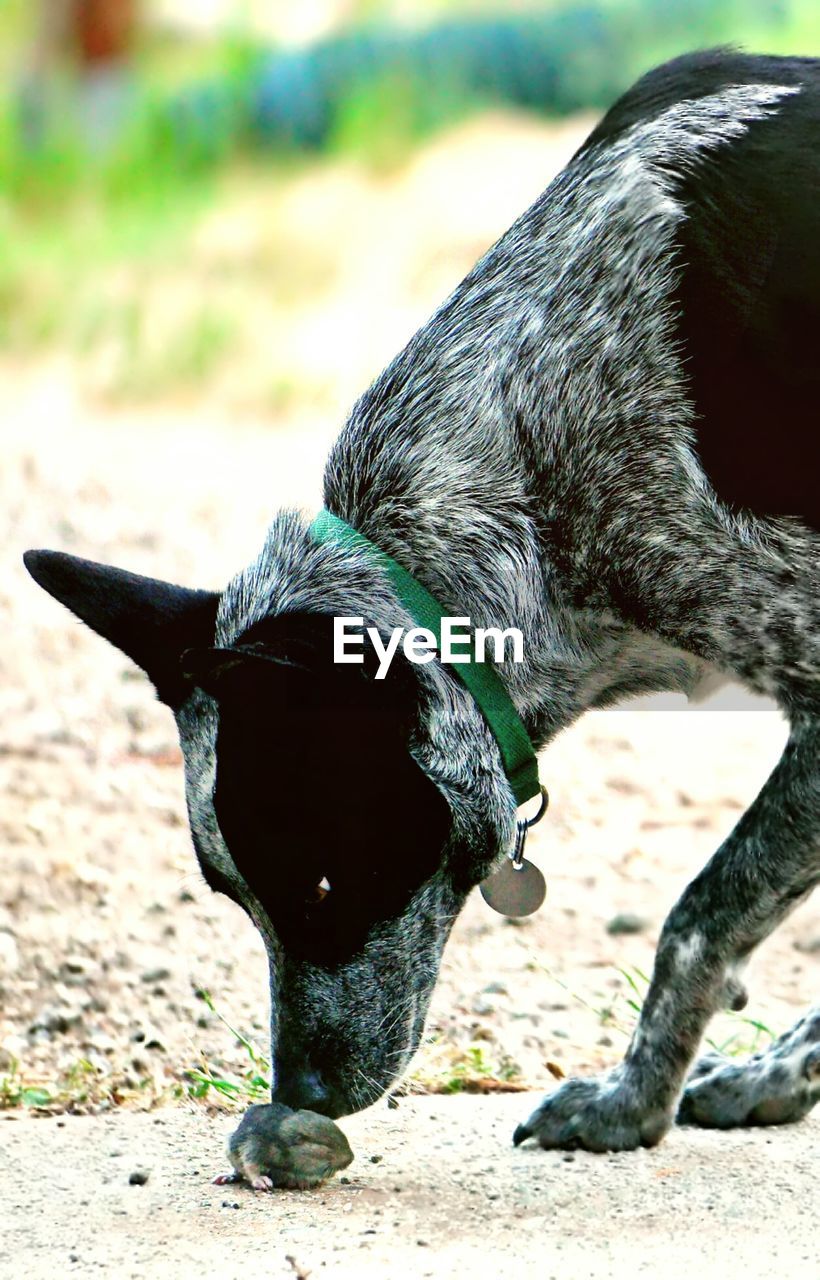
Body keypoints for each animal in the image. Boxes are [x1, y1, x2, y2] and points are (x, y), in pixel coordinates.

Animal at [25, 47, 818, 1152]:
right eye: (229, 892)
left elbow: (700, 917)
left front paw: (629, 1102)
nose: (302, 1093)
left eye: (320, 881)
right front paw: (775, 1069)